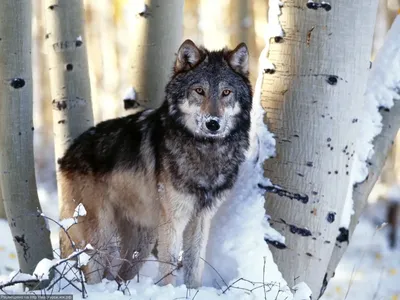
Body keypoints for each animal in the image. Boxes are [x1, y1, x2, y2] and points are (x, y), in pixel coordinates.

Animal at [59, 38, 252, 288]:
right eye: (199, 91)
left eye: (226, 92)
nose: (213, 123)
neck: (206, 150)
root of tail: (66, 155)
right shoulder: (173, 220)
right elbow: (168, 269)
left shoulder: (201, 219)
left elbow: (194, 268)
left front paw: (193, 291)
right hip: (102, 237)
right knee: (93, 274)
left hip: (141, 243)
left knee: (118, 277)